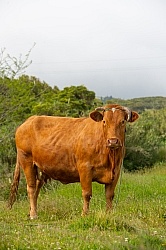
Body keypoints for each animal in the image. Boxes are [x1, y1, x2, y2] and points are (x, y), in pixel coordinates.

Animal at [8, 103, 139, 219]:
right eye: (104, 122)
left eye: (122, 122)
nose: (113, 141)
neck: (110, 156)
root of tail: (29, 120)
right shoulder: (85, 168)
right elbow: (87, 194)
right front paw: (84, 214)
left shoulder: (116, 172)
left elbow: (109, 195)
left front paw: (109, 213)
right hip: (26, 160)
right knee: (31, 188)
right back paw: (33, 215)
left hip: (40, 169)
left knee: (36, 190)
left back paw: (31, 212)